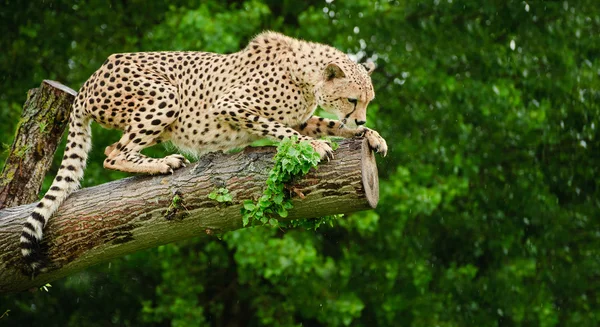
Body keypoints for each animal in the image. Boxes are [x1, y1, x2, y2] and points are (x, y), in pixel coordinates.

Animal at [19, 30, 390, 272]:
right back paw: (161, 163)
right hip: (165, 96)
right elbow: (281, 129)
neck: (306, 77)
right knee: (113, 151)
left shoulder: (301, 117)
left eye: (368, 101)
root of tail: (90, 80)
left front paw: (371, 135)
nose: (361, 117)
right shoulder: (230, 104)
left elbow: (329, 125)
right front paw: (314, 144)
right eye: (352, 99)